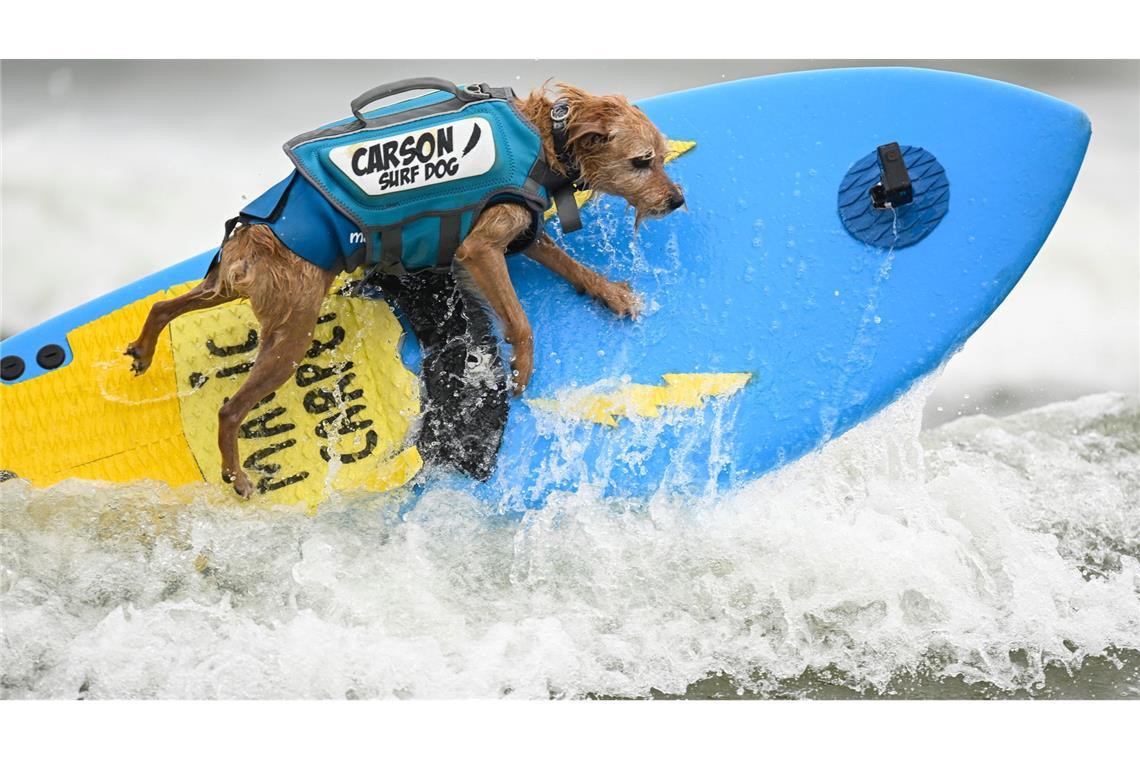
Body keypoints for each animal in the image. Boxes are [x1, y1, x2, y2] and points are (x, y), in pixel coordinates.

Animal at [129, 83, 688, 499]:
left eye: (662, 157)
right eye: (642, 161)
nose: (678, 200)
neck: (542, 137)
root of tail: (254, 236)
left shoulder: (524, 232)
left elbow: (573, 269)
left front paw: (612, 295)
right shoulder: (481, 249)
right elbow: (520, 320)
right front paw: (523, 366)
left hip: (231, 290)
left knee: (163, 304)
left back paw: (143, 348)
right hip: (289, 336)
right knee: (229, 409)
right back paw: (237, 473)